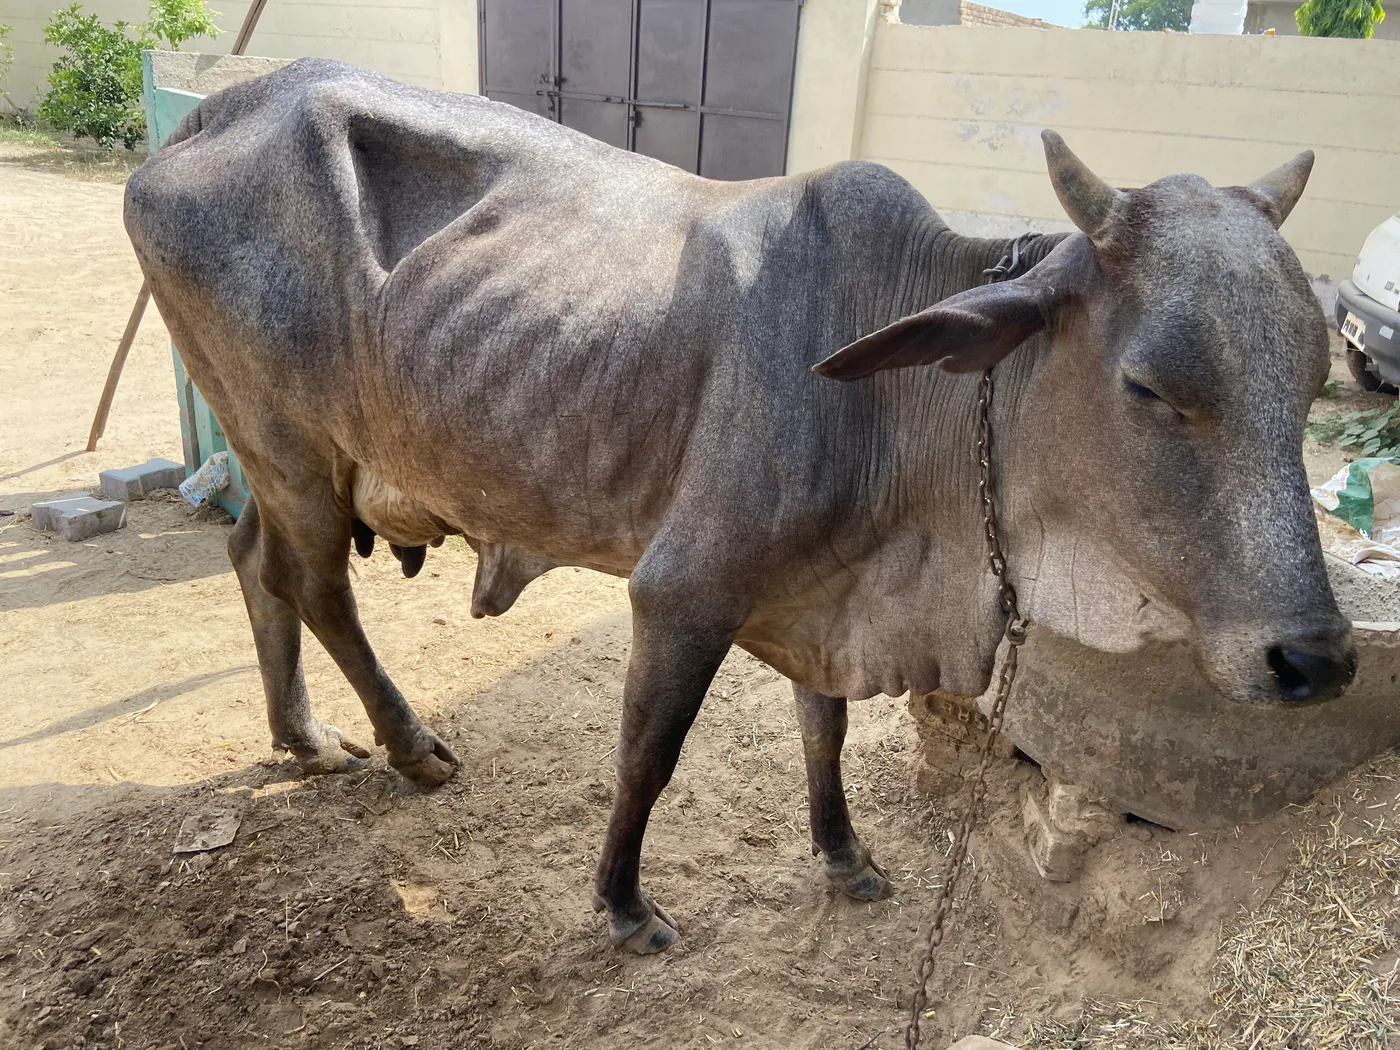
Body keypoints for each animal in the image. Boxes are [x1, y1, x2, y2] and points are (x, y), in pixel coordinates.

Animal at [124, 59, 1354, 954]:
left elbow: (825, 731)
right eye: (1148, 387)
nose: (1316, 660)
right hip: (292, 447)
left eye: (1309, 381)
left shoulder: (829, 600)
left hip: (278, 454)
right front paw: (624, 907)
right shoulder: (684, 594)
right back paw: (409, 745)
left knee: (255, 559)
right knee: (318, 584)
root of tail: (207, 117)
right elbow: (646, 756)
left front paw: (845, 857)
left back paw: (300, 737)